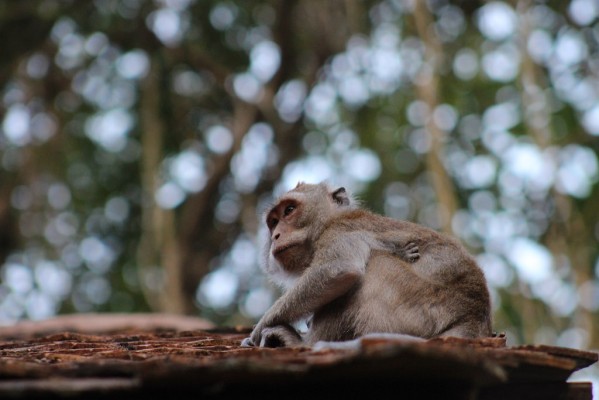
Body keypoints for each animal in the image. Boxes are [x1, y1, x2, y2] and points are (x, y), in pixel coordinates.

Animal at [244, 182, 492, 346]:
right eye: (273, 222)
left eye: (289, 210)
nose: (276, 235)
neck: (327, 222)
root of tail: (474, 318)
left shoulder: (339, 231)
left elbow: (338, 270)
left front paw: (259, 329)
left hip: (422, 315)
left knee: (374, 264)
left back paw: (305, 344)